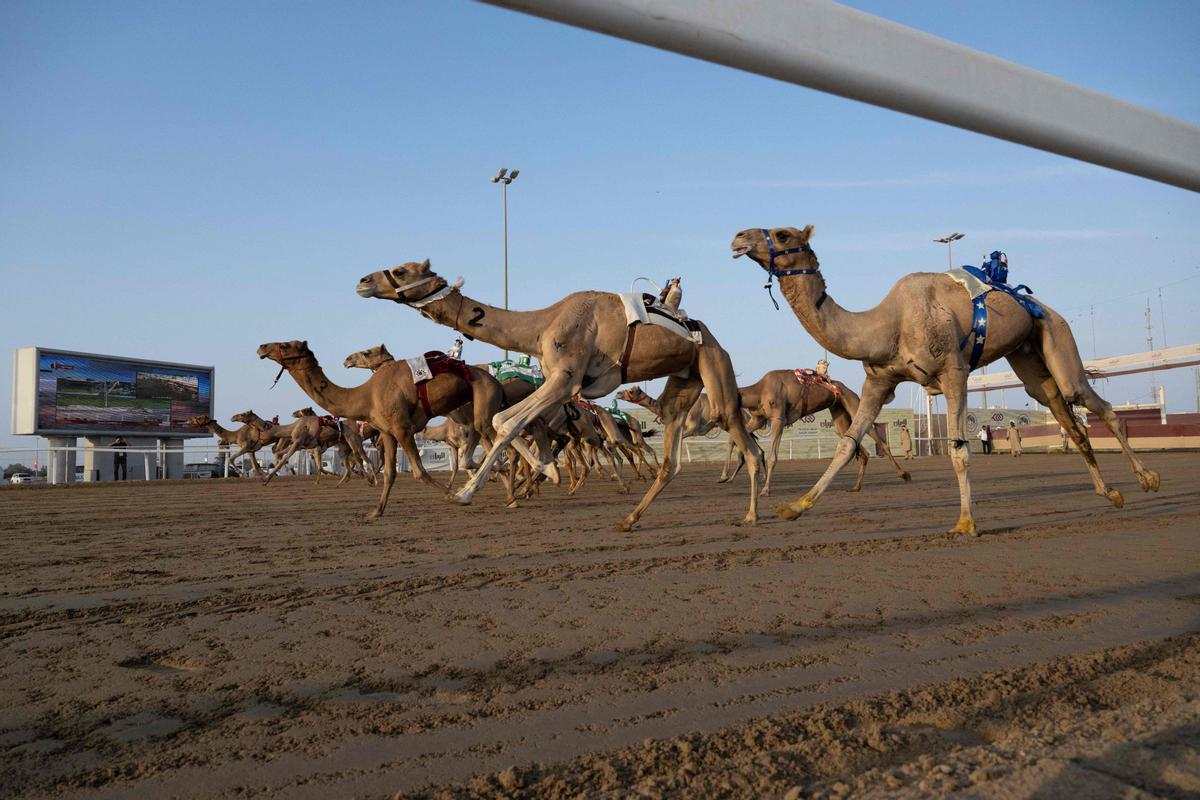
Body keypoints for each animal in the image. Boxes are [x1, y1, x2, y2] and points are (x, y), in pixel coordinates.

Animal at [256, 340, 511, 520]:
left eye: (285, 344)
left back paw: (509, 487)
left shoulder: (402, 428)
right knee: (486, 441)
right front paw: (375, 512)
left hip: (484, 398)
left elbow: (419, 471)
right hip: (472, 410)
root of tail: (495, 381)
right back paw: (507, 485)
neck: (365, 396)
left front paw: (458, 497)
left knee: (503, 438)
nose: (261, 347)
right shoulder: (388, 433)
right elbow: (390, 473)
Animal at [355, 262, 763, 532]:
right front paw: (540, 473)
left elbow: (504, 421)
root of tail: (706, 335)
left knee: (747, 444)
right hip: (683, 383)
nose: (362, 281)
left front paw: (467, 493)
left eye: (401, 270)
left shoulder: (566, 378)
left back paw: (753, 514)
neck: (541, 325)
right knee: (670, 459)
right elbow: (510, 423)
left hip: (714, 368)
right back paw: (629, 518)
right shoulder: (561, 384)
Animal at [724, 227, 1156, 534]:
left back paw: (1148, 479)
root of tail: (1033, 302)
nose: (739, 237)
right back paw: (1110, 492)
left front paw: (966, 523)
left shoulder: (953, 371)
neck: (888, 324)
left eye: (782, 234)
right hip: (1028, 355)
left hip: (1055, 331)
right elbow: (847, 445)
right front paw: (793, 507)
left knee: (1092, 401)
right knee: (1063, 410)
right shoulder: (877, 383)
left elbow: (959, 449)